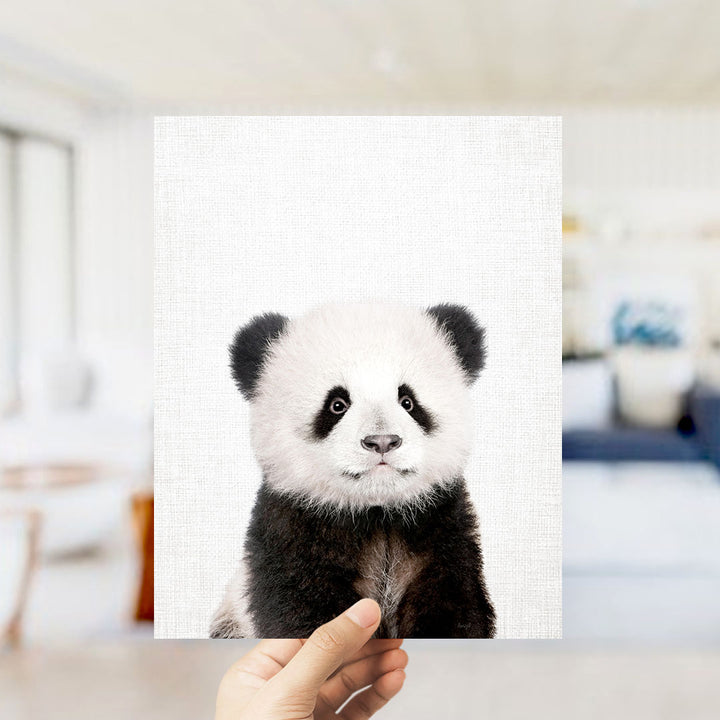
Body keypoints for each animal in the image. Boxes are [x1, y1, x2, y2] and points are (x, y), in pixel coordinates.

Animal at [210, 303, 496, 639]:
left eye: (408, 401)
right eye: (337, 404)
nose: (382, 441)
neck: (377, 513)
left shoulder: (441, 526)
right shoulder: (292, 529)